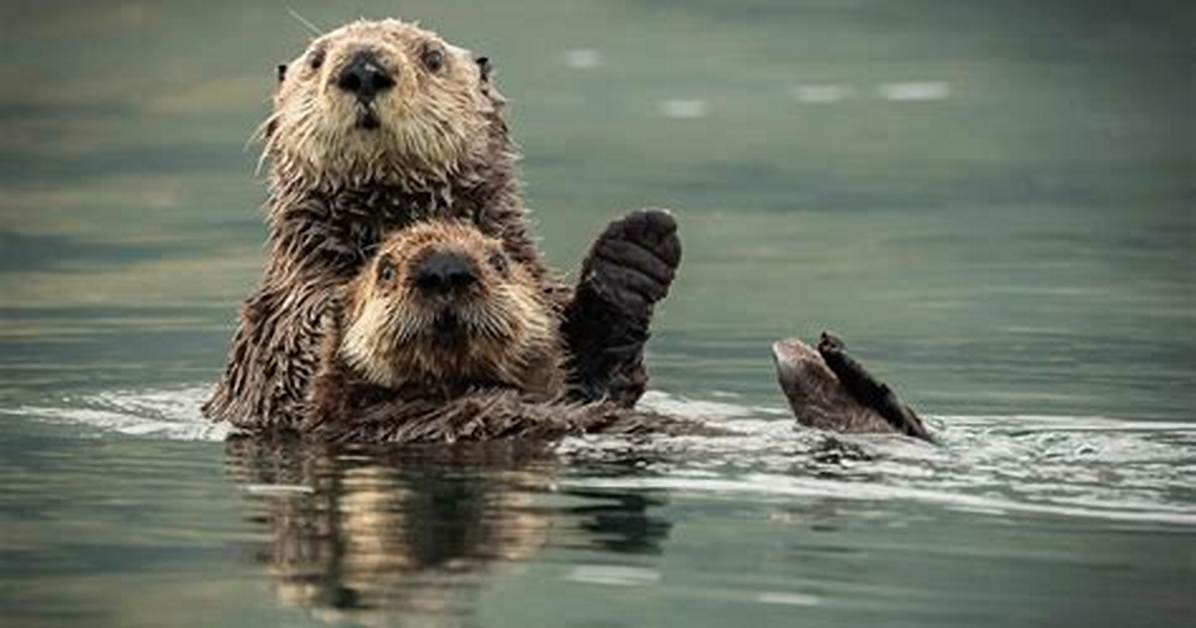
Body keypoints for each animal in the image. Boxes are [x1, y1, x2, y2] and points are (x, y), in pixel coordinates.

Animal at [204, 18, 680, 431]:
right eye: (317, 58)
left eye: (432, 57)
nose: (363, 69)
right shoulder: (284, 322)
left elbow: (598, 378)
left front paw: (634, 252)